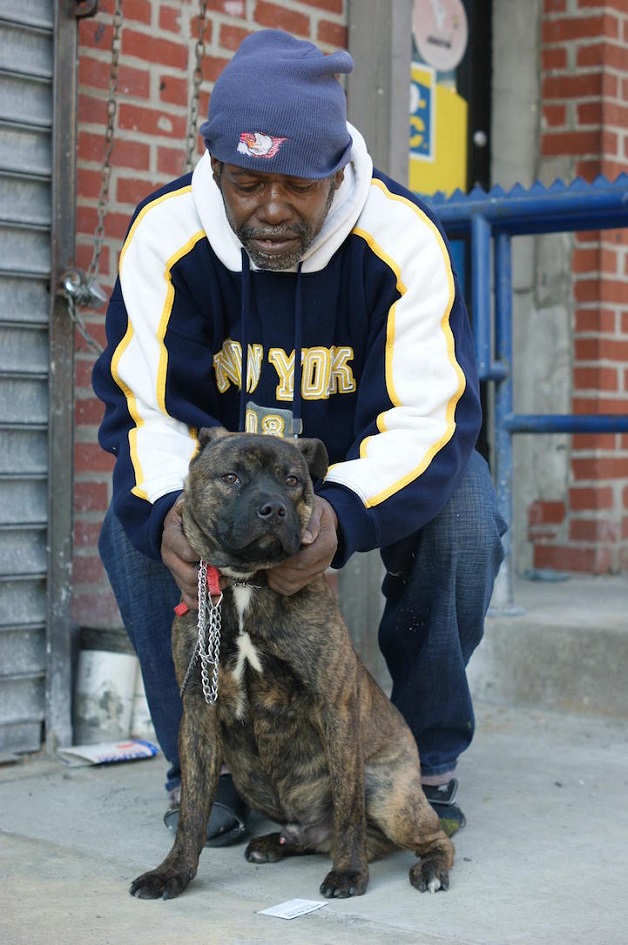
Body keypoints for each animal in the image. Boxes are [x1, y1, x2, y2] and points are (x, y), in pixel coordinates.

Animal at [130, 426, 454, 900]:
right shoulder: (198, 713)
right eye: (231, 477)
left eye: (292, 480)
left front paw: (349, 873)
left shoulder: (335, 709)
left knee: (429, 835)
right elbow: (192, 812)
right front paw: (172, 872)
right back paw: (273, 843)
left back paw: (428, 867)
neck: (246, 584)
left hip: (387, 793)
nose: (273, 509)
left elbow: (347, 805)